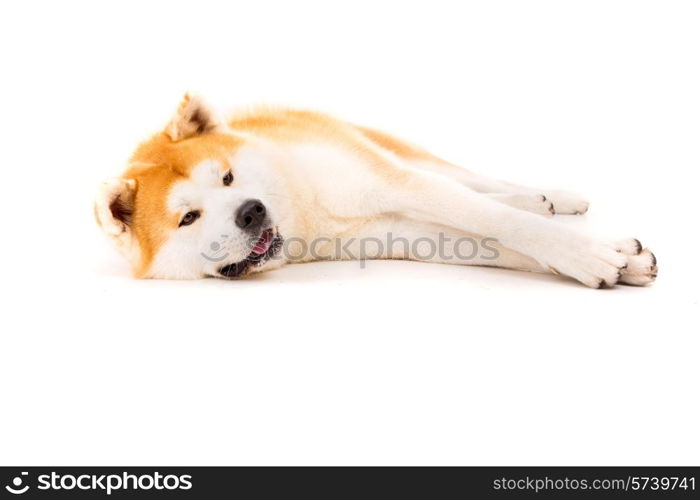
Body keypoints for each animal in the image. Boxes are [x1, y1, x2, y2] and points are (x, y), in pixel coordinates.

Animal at [94, 94, 656, 290]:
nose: (252, 212)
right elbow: (496, 242)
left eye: (229, 178)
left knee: (478, 181)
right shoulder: (397, 232)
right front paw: (618, 260)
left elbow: (503, 223)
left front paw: (588, 252)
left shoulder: (398, 182)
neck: (306, 210)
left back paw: (553, 197)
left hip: (400, 154)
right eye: (188, 217)